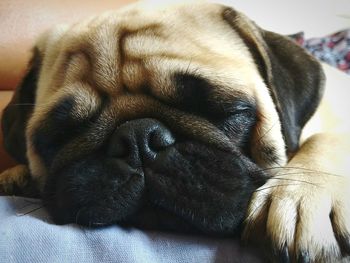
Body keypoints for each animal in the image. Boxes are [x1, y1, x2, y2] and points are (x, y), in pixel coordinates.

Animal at [0, 2, 350, 263]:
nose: (138, 138)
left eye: (228, 111)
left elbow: (328, 139)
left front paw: (303, 194)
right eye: (59, 136)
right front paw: (18, 174)